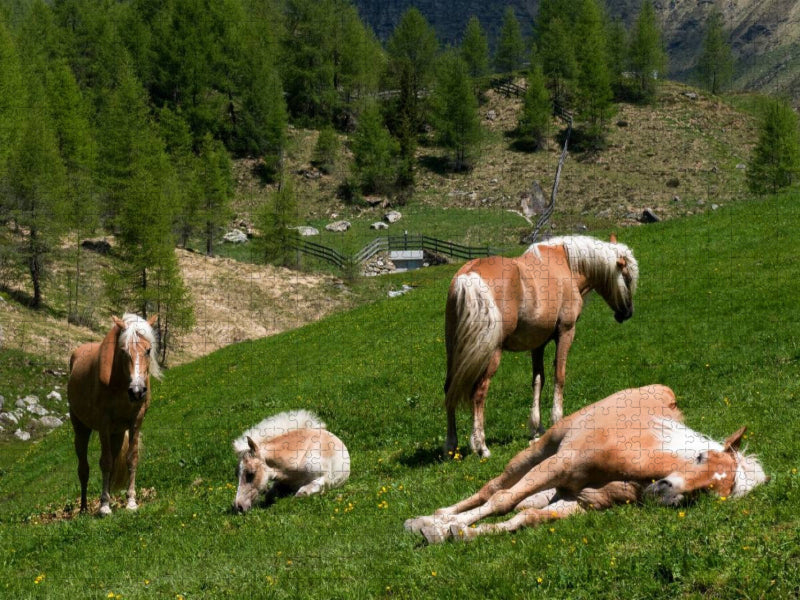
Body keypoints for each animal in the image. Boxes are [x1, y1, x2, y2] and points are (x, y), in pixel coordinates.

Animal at [67, 314, 160, 516]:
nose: (137, 391)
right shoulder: (104, 423)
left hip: (116, 433)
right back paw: (84, 508)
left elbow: (131, 459)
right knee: (83, 468)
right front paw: (104, 506)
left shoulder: (135, 421)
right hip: (81, 429)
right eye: (124, 351)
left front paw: (131, 502)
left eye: (148, 350)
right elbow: (106, 463)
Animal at [406, 385, 768, 543]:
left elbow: (527, 517)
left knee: (524, 501)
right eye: (699, 456)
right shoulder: (560, 465)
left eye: (709, 492)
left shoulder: (582, 500)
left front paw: (464, 533)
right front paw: (444, 527)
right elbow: (502, 500)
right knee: (492, 488)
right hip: (542, 451)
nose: (665, 491)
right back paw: (431, 519)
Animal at [444, 234, 639, 458]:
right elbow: (559, 376)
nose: (627, 313)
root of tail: (468, 276)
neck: (568, 266)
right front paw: (557, 420)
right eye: (627, 278)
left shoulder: (537, 344)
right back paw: (481, 446)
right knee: (479, 392)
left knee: (449, 389)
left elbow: (538, 380)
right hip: (491, 354)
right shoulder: (566, 332)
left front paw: (537, 429)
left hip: (454, 351)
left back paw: (451, 445)